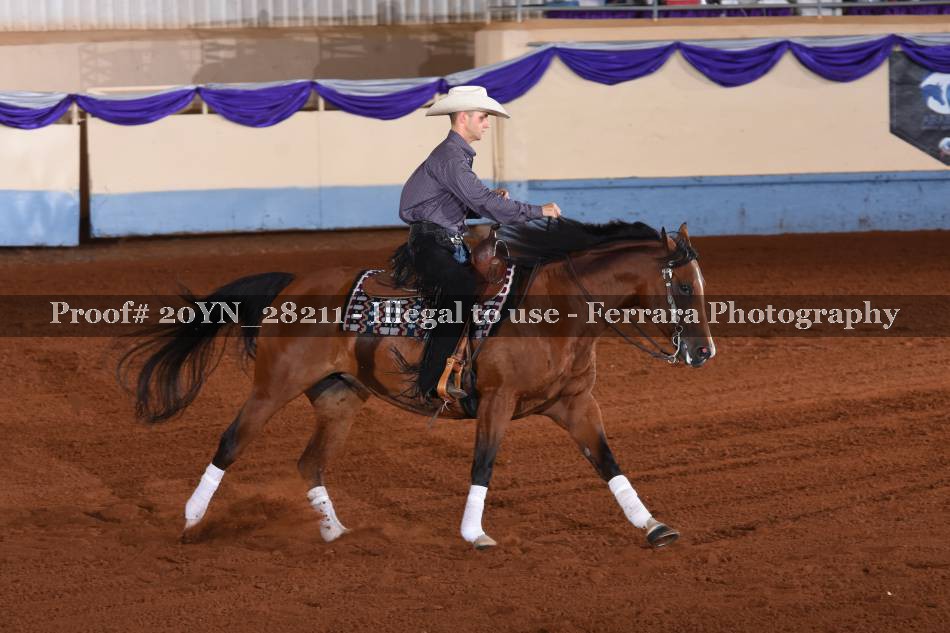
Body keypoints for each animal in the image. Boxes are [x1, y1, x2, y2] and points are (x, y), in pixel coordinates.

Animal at [120, 218, 715, 550]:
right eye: (684, 288)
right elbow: (483, 465)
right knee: (229, 445)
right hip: (271, 389)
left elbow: (609, 463)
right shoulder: (497, 401)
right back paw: (191, 521)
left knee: (310, 463)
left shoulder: (575, 404)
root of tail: (290, 283)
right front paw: (474, 534)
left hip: (339, 398)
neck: (555, 311)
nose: (705, 353)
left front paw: (653, 527)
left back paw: (336, 534)